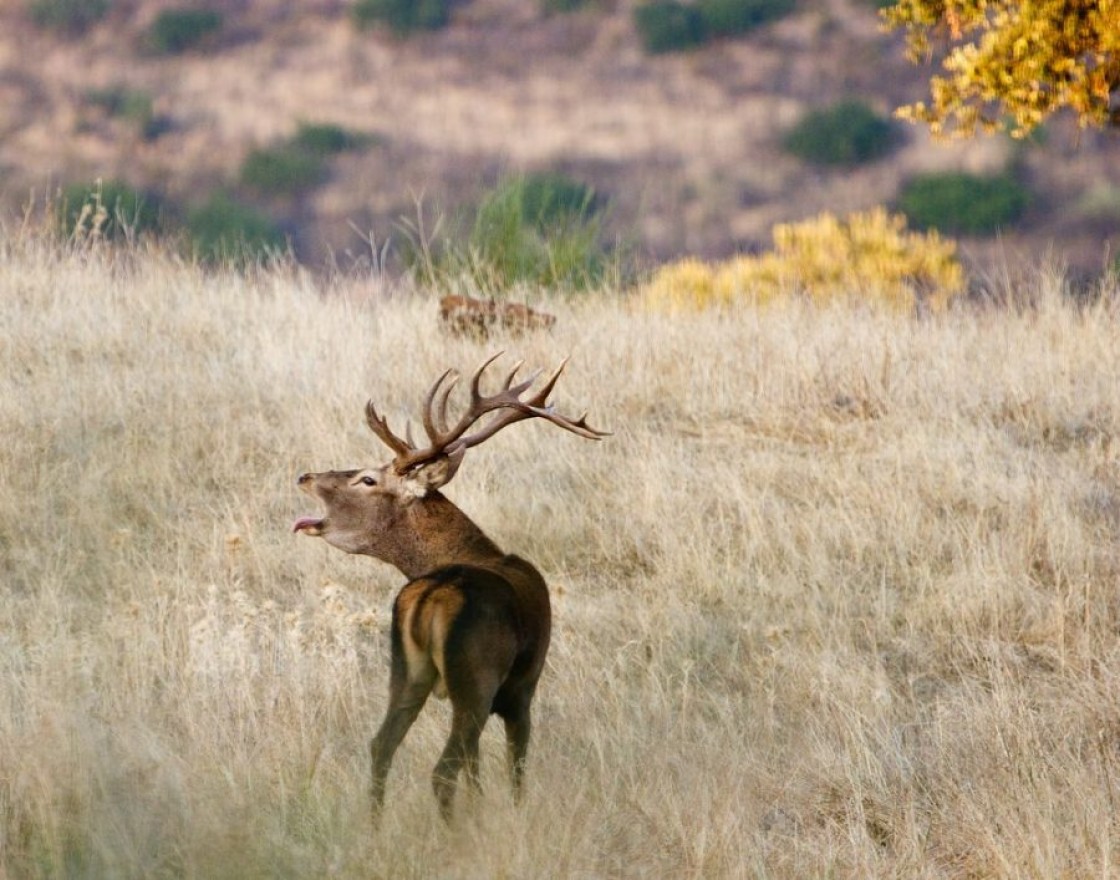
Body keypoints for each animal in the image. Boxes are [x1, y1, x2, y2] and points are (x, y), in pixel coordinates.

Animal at [288, 353, 604, 819]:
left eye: (367, 479)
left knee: (382, 746)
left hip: (407, 672)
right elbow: (515, 767)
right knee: (442, 770)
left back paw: (378, 826)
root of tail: (430, 595)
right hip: (475, 680)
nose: (305, 476)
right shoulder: (523, 687)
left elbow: (478, 770)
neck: (477, 551)